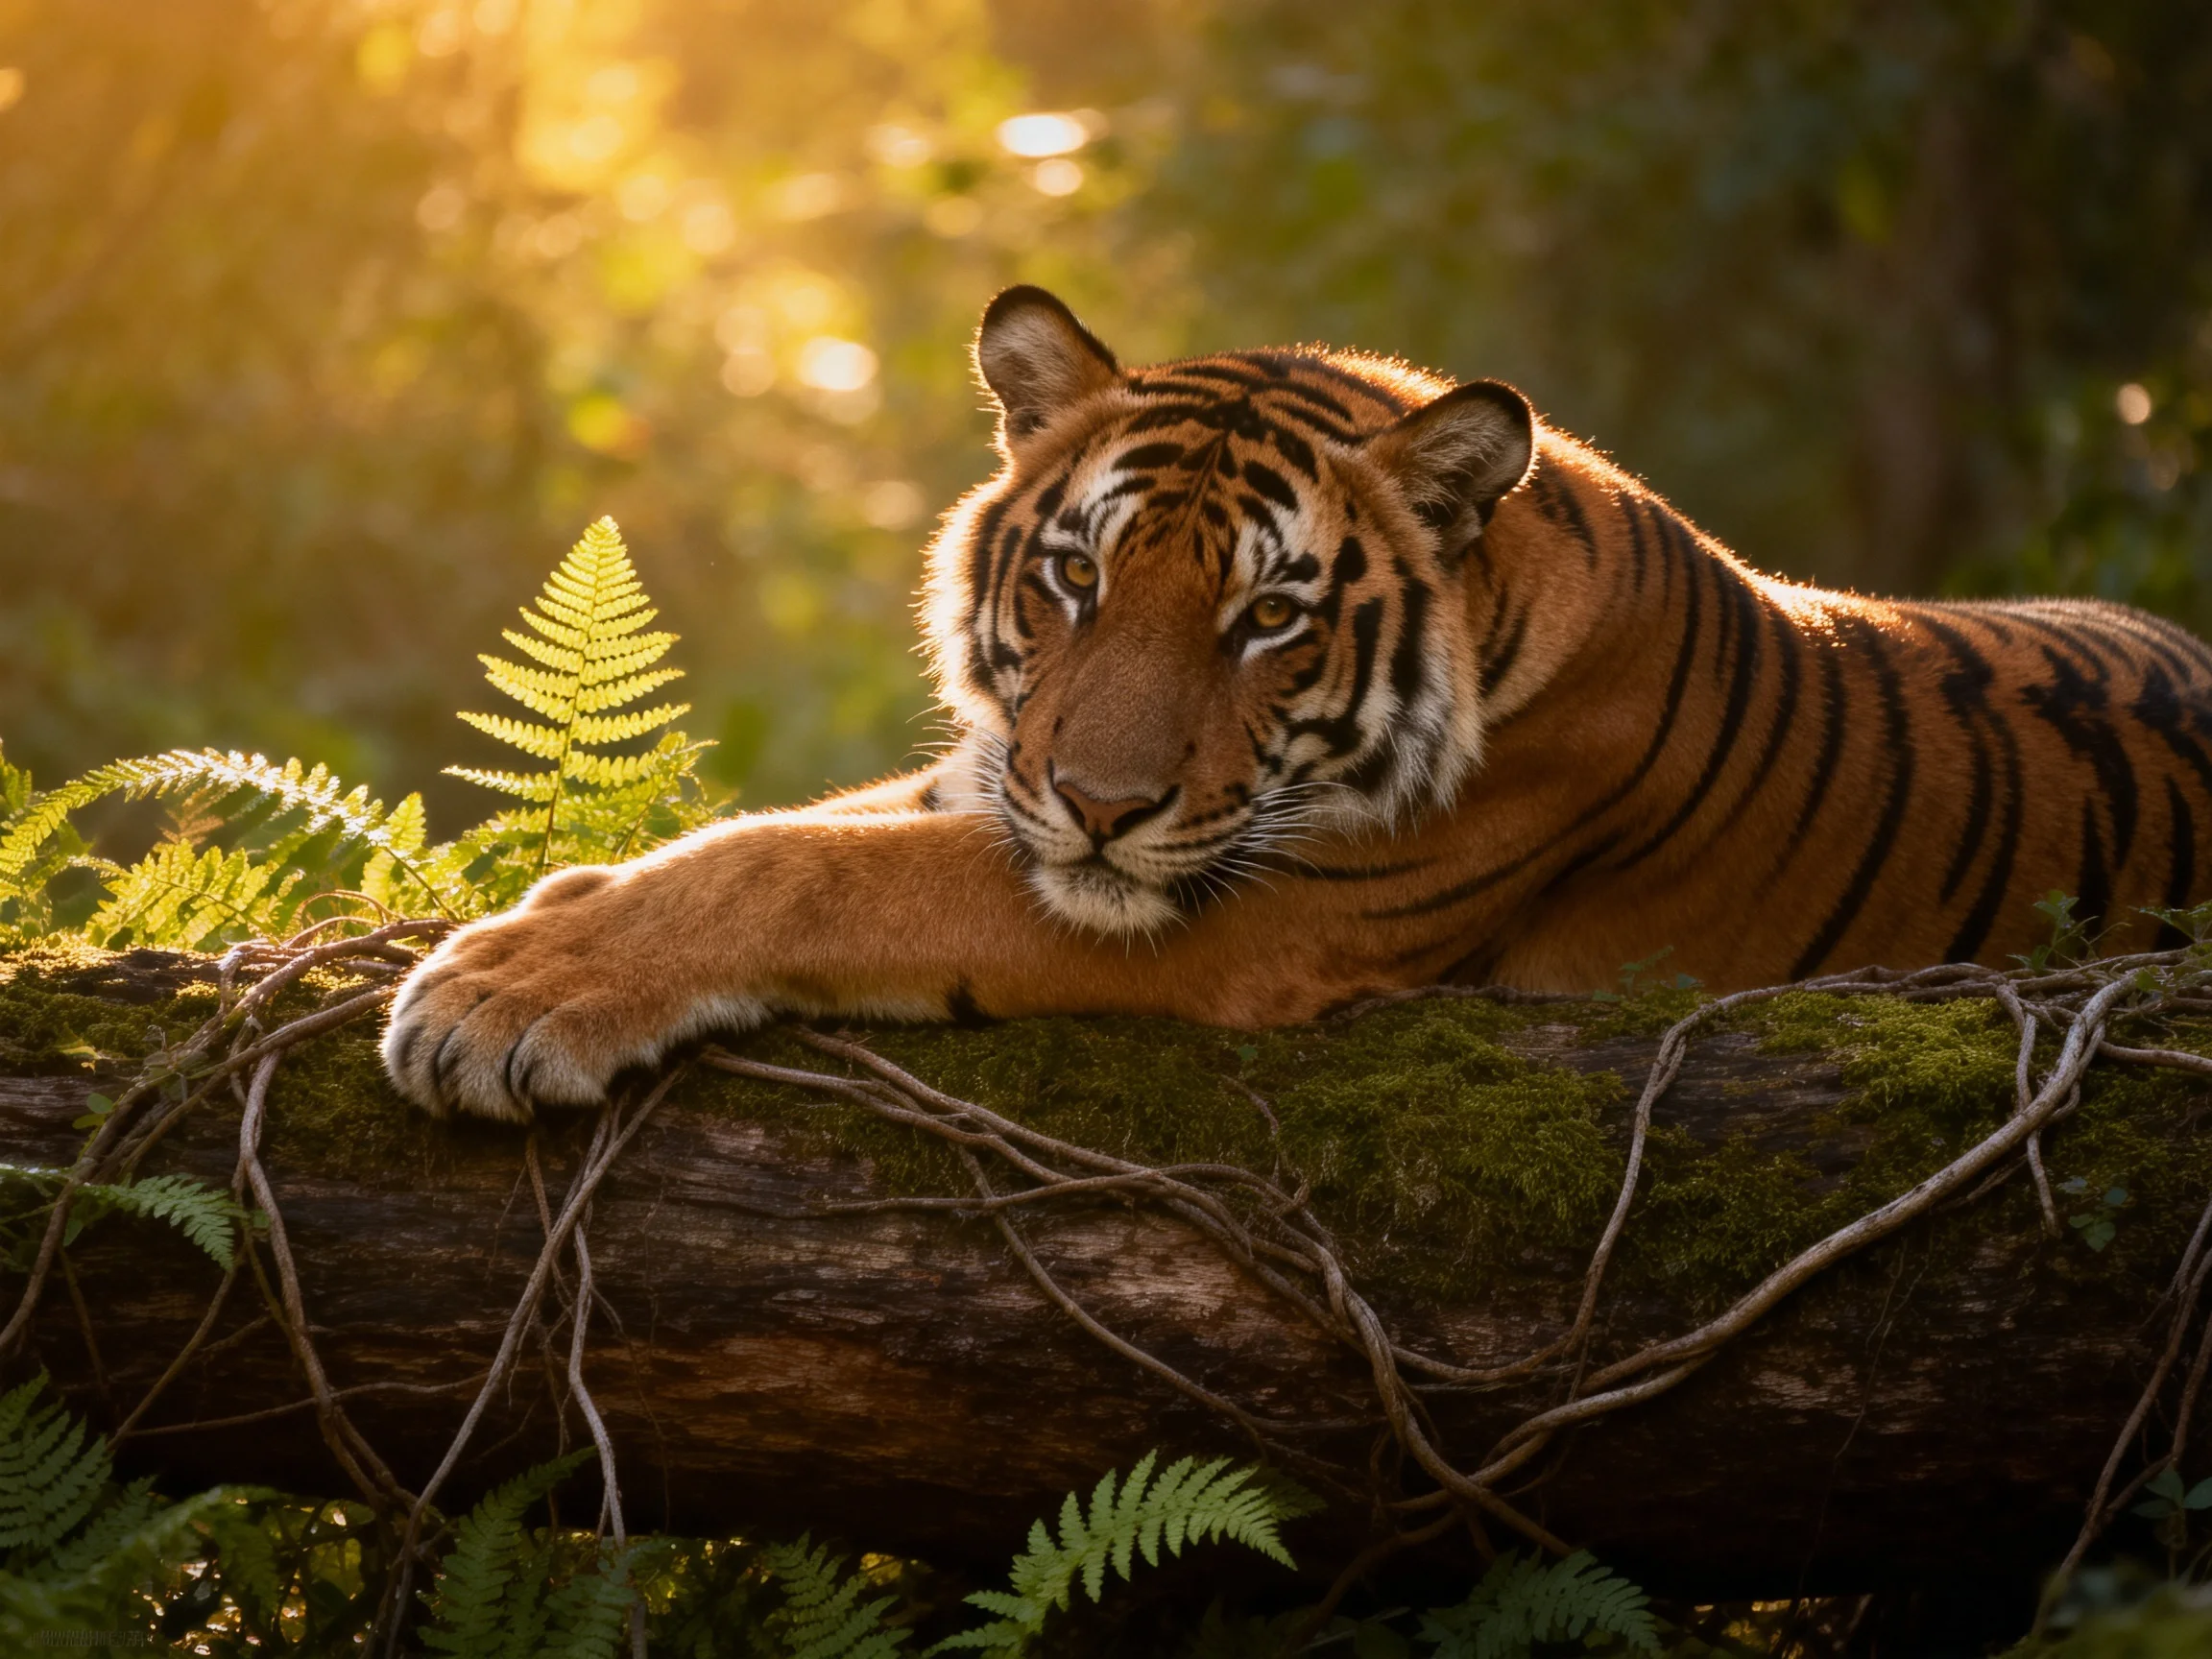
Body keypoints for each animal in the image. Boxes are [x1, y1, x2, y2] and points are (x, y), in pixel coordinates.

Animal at [383, 284, 2212, 1122]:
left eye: (1269, 618)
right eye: (1074, 578)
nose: (1102, 806)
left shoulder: (1252, 913)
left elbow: (819, 867)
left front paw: (504, 992)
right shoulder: (1010, 781)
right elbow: (796, 825)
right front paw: (548, 906)